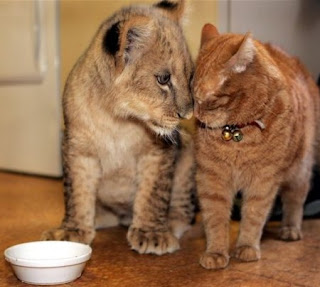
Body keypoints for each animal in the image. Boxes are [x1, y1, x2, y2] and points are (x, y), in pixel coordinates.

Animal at [192, 24, 320, 270]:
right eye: (192, 96)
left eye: (209, 100)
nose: (195, 115)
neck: (236, 134)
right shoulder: (212, 180)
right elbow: (215, 219)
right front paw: (216, 252)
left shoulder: (263, 181)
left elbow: (253, 216)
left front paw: (247, 247)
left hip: (300, 169)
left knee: (295, 200)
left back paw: (290, 229)